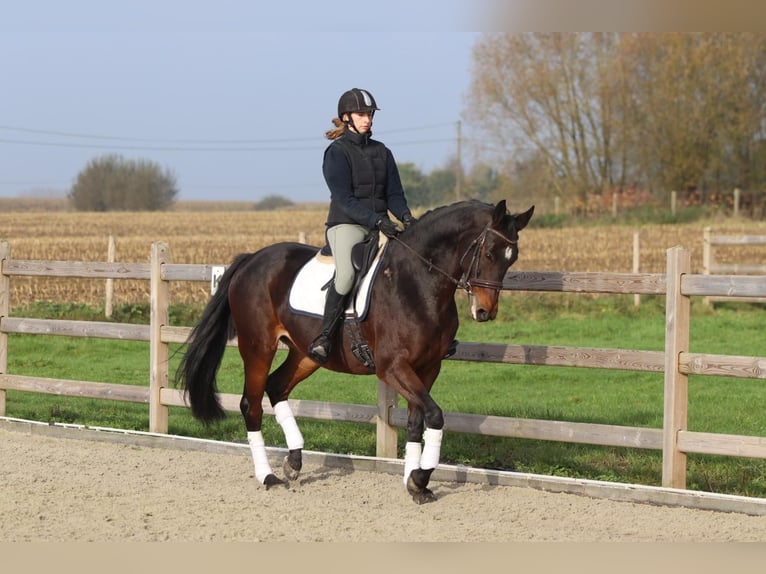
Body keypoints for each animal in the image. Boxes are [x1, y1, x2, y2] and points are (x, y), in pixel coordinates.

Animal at [174, 200, 536, 506]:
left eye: (512, 257)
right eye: (488, 253)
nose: (485, 312)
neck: (418, 282)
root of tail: (253, 258)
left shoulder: (428, 367)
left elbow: (416, 421)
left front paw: (413, 482)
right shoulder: (393, 367)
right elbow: (434, 415)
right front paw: (419, 478)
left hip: (306, 353)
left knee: (277, 387)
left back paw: (294, 461)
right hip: (257, 347)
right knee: (251, 404)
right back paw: (268, 476)